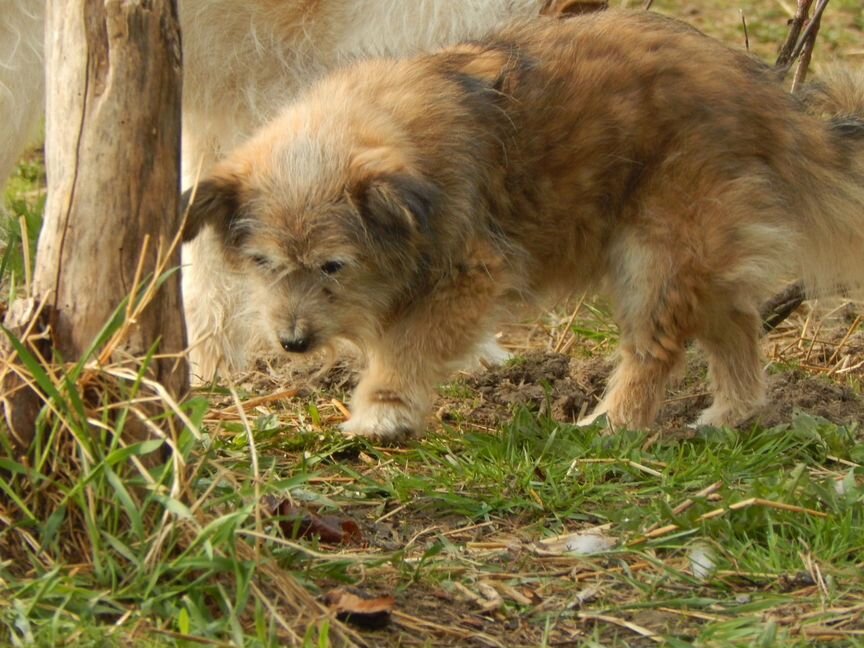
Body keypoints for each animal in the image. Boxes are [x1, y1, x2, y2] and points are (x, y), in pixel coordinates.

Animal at [182, 8, 864, 440]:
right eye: (263, 263)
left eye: (333, 266)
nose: (292, 342)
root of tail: (768, 96)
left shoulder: (470, 275)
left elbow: (406, 345)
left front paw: (384, 410)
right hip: (694, 257)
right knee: (738, 322)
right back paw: (732, 415)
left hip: (656, 256)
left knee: (658, 347)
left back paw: (613, 423)